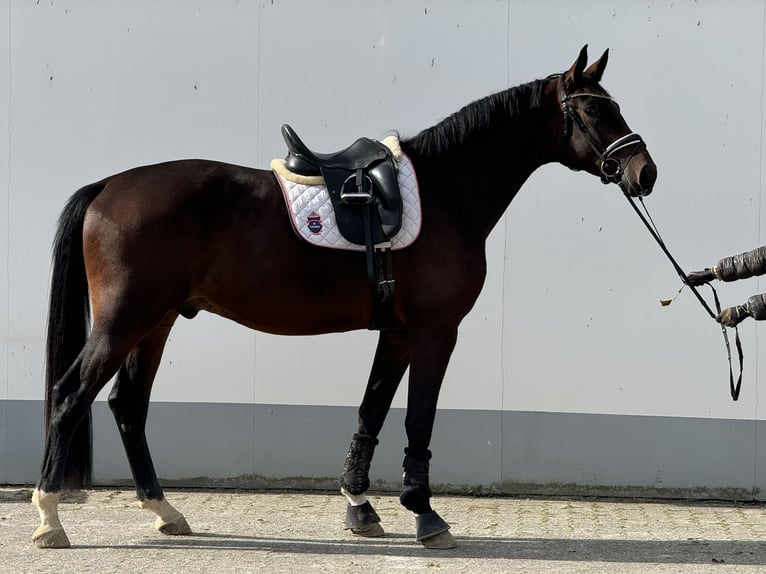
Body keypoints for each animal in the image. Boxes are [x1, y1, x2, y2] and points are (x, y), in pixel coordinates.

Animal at [33, 47, 656, 552]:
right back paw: (49, 518)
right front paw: (425, 515)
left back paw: (163, 510)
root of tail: (107, 186)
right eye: (595, 112)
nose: (645, 172)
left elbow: (371, 411)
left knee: (127, 405)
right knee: (69, 396)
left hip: (156, 321)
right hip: (123, 321)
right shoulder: (435, 332)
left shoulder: (397, 333)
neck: (446, 192)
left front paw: (360, 508)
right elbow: (418, 420)